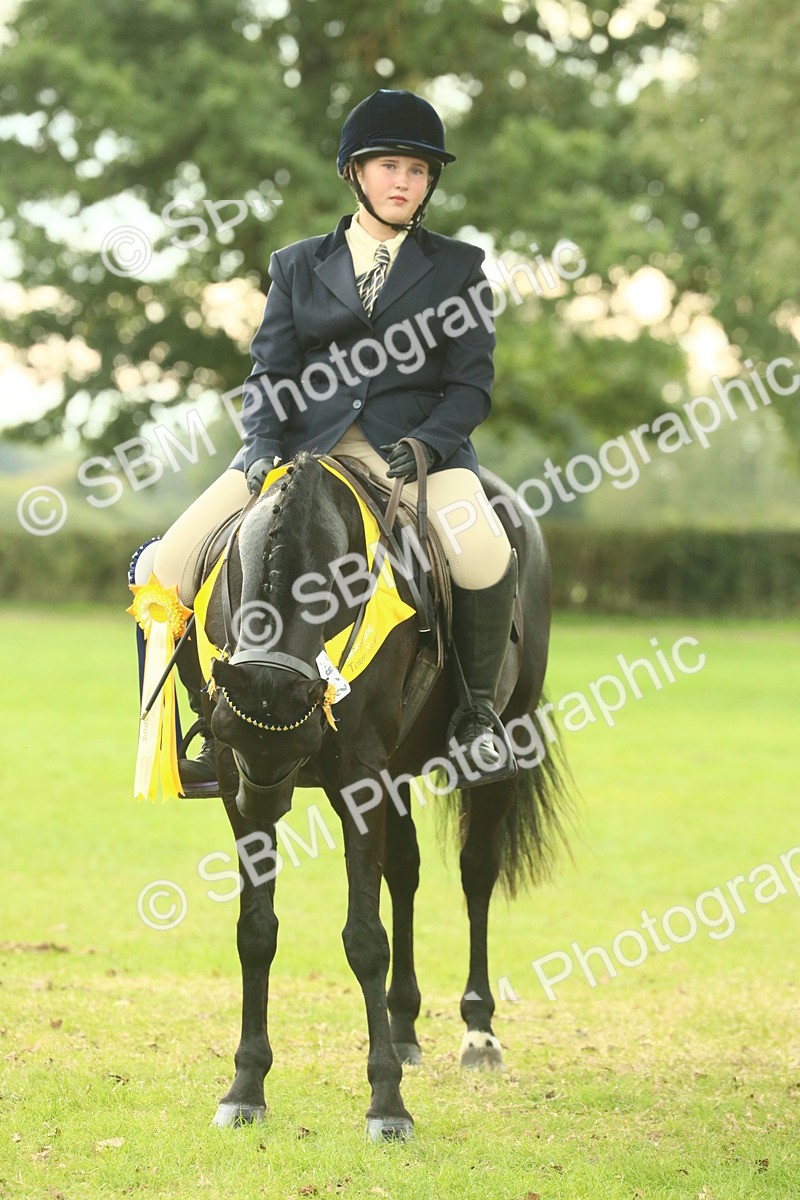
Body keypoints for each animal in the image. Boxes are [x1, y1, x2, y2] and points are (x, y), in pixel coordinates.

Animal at [196, 450, 570, 1141]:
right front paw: (246, 1087)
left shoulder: (358, 778)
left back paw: (478, 1032)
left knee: (477, 872)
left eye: (301, 735)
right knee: (405, 871)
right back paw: (403, 1027)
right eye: (230, 735)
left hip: (507, 748)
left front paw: (387, 1104)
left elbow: (365, 939)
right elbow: (256, 930)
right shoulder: (241, 785)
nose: (268, 809)